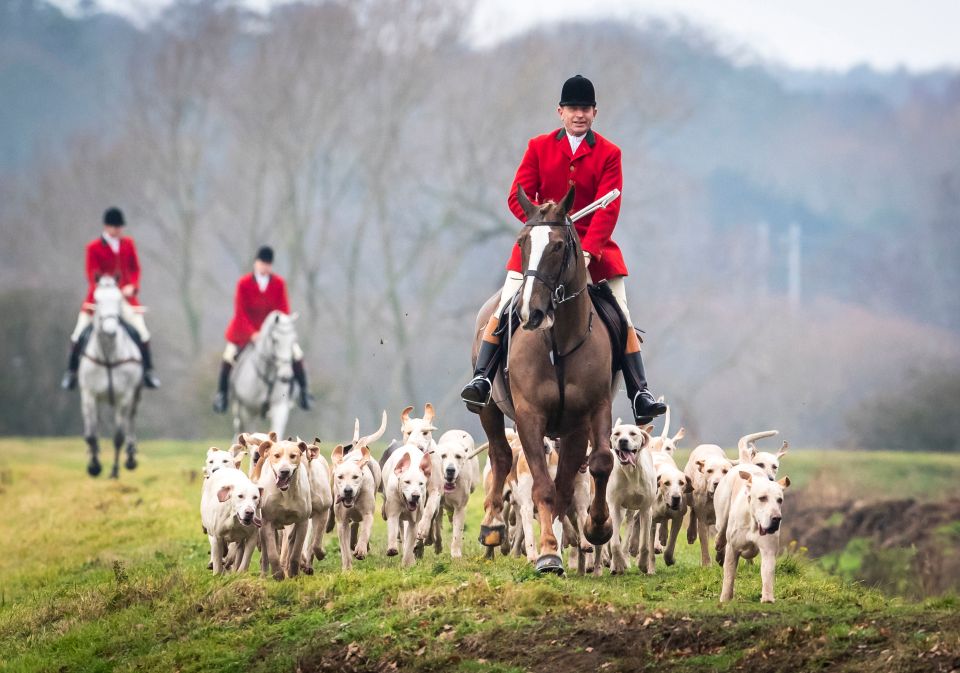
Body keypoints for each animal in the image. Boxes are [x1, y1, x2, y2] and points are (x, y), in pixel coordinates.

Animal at [79, 276, 143, 478]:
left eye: (119, 299)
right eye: (97, 300)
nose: (110, 330)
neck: (108, 355)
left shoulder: (125, 396)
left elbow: (118, 436)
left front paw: (114, 471)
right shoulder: (89, 394)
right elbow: (91, 435)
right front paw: (94, 466)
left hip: (135, 396)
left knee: (131, 421)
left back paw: (130, 457)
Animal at [472, 184, 616, 572]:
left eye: (559, 246)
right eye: (522, 242)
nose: (530, 312)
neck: (558, 341)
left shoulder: (587, 415)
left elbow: (597, 465)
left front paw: (596, 528)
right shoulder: (529, 416)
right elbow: (543, 488)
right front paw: (550, 552)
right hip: (488, 408)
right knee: (501, 454)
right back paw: (492, 525)